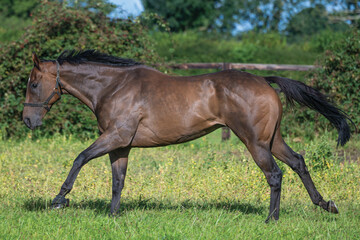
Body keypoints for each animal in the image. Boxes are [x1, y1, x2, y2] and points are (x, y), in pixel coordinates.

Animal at [22, 49, 352, 222]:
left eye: (34, 84)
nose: (28, 120)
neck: (113, 87)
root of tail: (263, 80)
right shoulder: (121, 145)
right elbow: (118, 181)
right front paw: (114, 216)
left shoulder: (115, 137)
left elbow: (80, 158)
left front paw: (59, 200)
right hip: (273, 139)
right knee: (298, 162)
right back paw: (326, 204)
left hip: (254, 142)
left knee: (274, 174)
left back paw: (271, 219)